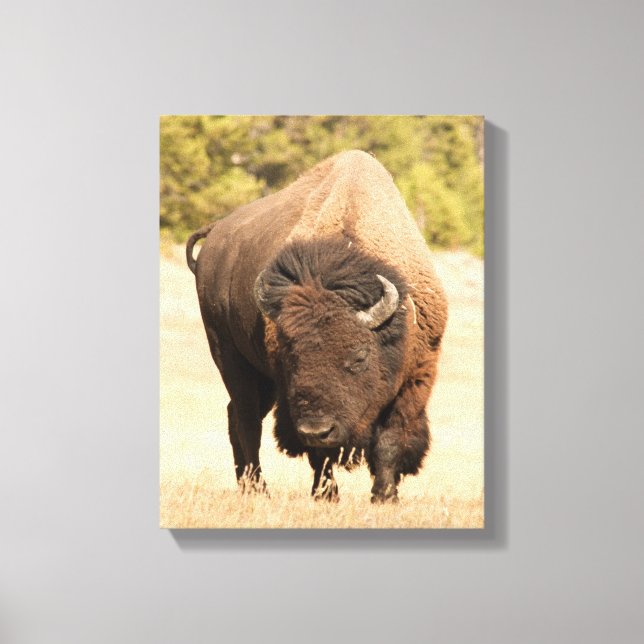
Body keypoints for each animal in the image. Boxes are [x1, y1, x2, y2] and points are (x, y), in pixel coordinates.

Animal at [186, 150, 448, 502]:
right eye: (291, 357)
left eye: (359, 356)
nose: (317, 430)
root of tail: (215, 234)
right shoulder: (291, 395)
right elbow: (319, 455)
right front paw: (327, 495)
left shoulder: (416, 377)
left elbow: (390, 440)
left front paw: (384, 496)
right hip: (230, 357)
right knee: (246, 421)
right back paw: (258, 489)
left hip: (261, 381)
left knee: (236, 417)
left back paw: (247, 486)